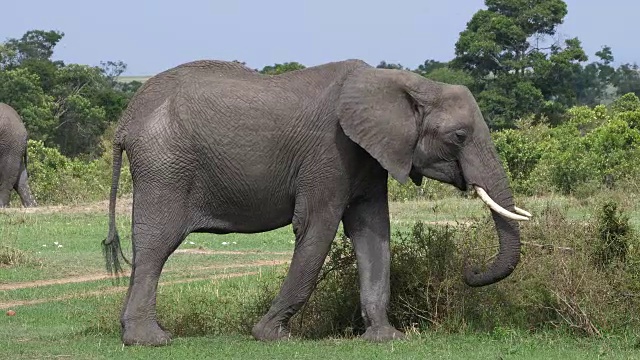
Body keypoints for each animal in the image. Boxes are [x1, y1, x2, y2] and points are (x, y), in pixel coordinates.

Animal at [102, 59, 532, 346]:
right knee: (157, 245)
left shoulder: (367, 156)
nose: (469, 271)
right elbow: (316, 228)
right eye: (459, 137)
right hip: (165, 167)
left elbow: (373, 231)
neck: (404, 82)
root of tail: (125, 121)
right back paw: (150, 340)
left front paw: (386, 338)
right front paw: (270, 336)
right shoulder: (329, 153)